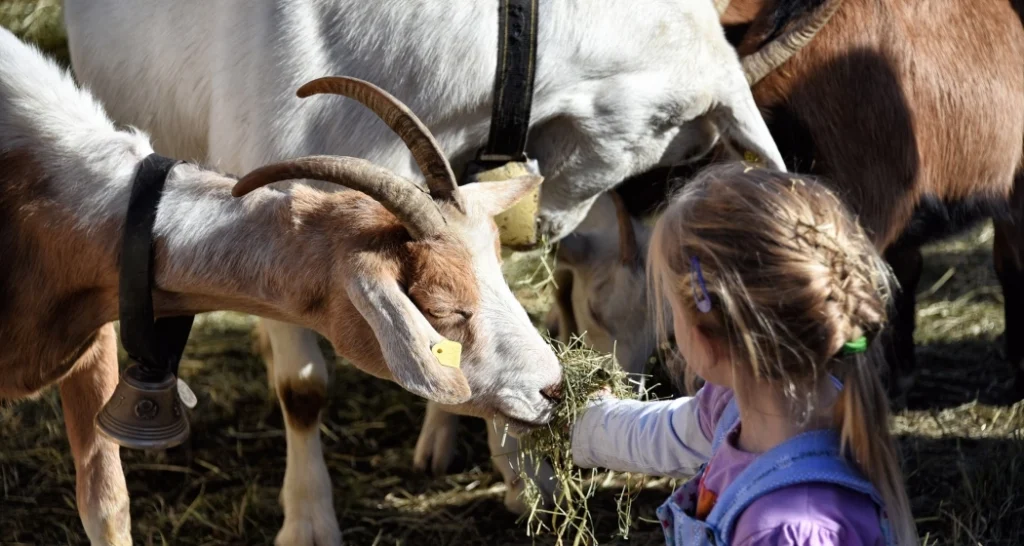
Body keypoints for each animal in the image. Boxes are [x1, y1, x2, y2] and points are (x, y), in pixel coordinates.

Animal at [61, 0, 782, 536]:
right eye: (676, 149)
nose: (555, 233)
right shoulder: (273, 216)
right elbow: (303, 388)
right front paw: (309, 520)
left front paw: (526, 479)